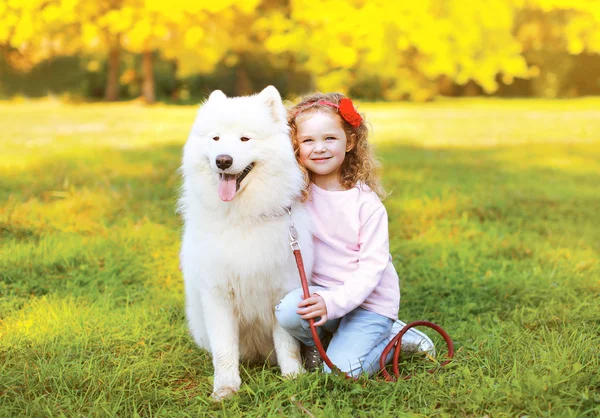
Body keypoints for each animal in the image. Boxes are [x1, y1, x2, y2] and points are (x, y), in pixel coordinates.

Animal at [177, 85, 314, 402]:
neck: (242, 216)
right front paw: (226, 388)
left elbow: (287, 345)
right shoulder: (218, 295)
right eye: (216, 139)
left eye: (245, 139)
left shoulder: (281, 291)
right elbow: (225, 350)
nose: (223, 160)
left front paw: (294, 379)